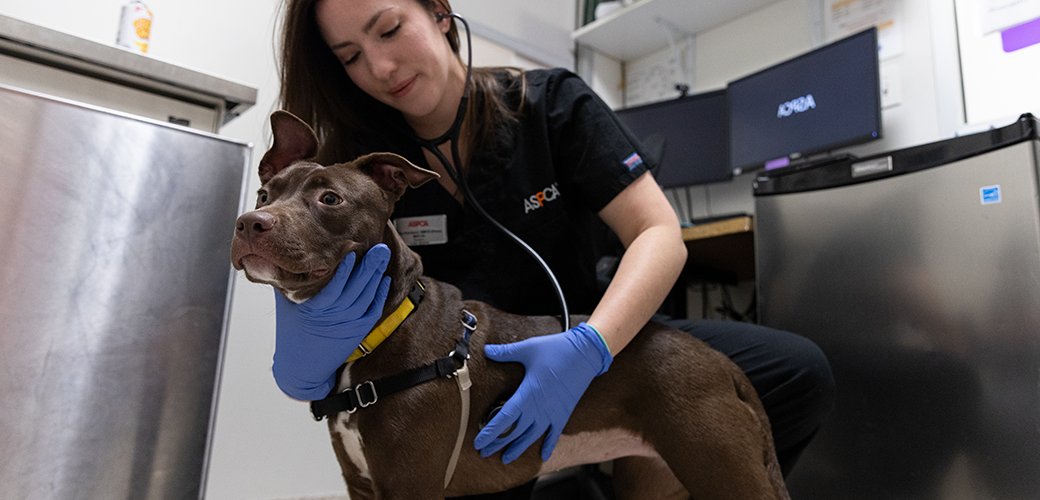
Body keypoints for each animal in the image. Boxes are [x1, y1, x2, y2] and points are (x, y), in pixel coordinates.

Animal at [233, 111, 786, 498]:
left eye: (330, 199)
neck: (381, 329)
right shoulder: (362, 485)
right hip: (654, 479)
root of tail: (722, 365)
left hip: (720, 466)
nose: (249, 223)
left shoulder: (409, 487)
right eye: (264, 192)